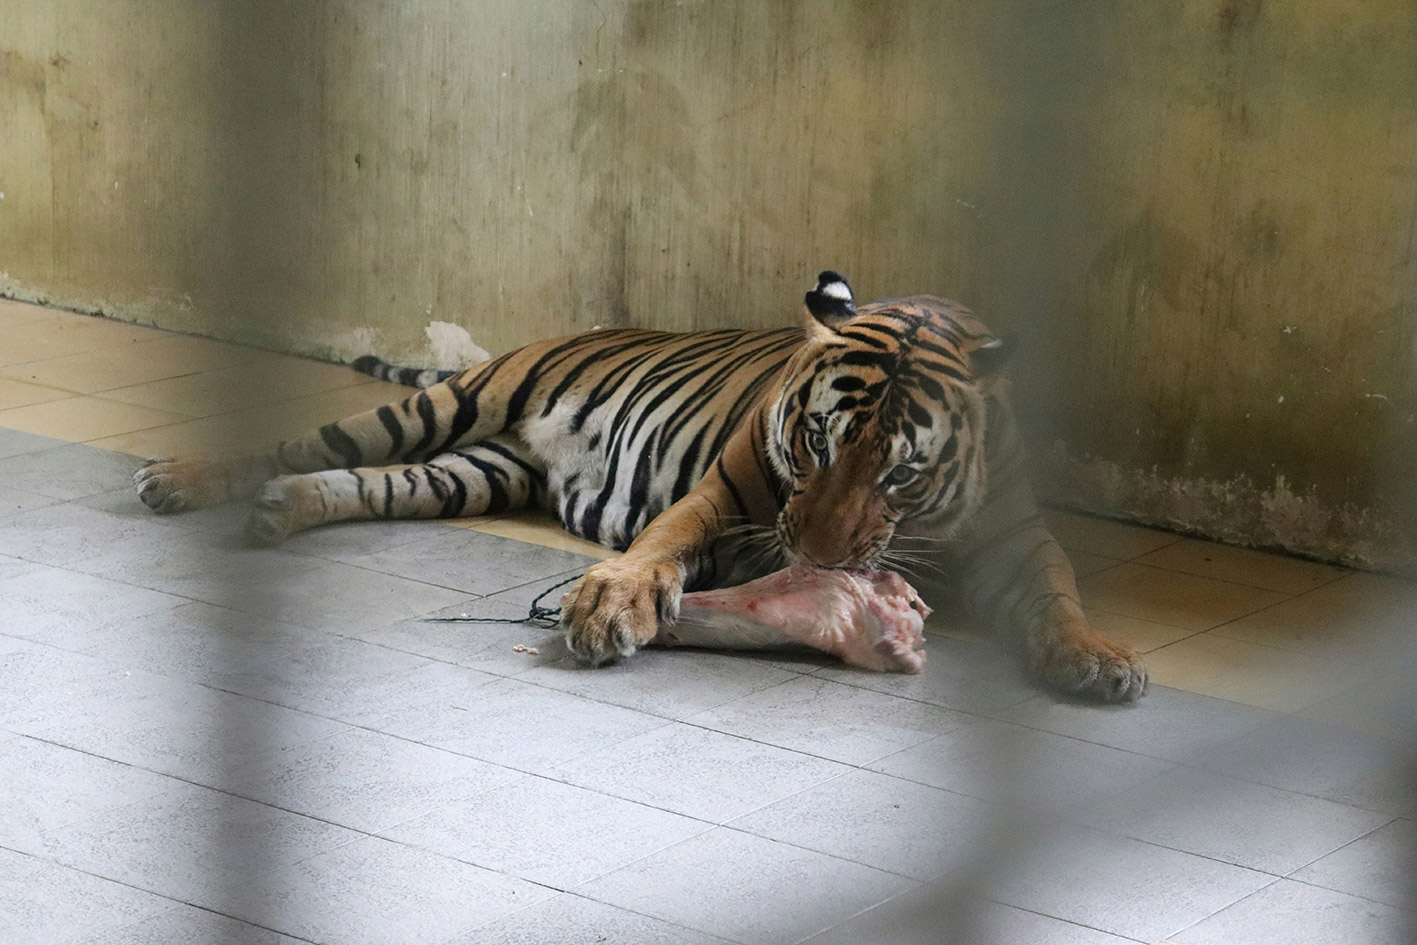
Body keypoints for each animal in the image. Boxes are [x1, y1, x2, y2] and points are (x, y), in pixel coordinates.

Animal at [134, 271, 1146, 703]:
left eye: (899, 468)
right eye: (817, 440)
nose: (819, 562)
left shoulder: (1015, 536)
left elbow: (1057, 597)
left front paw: (1099, 658)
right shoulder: (727, 495)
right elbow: (660, 543)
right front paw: (613, 601)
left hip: (472, 471)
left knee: (366, 483)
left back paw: (279, 509)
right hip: (449, 404)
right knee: (302, 439)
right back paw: (181, 479)